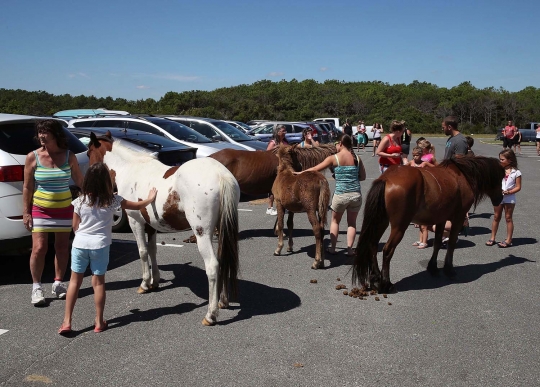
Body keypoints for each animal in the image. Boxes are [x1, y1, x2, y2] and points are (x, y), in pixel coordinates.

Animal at [87, 132, 239, 326]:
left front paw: (145, 284)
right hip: (221, 231)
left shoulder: (136, 222)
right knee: (225, 260)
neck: (129, 168)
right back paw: (223, 301)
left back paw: (210, 315)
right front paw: (155, 281)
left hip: (202, 233)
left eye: (89, 152)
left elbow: (143, 252)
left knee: (213, 266)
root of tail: (221, 175)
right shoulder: (151, 226)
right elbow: (153, 250)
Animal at [352, 156, 504, 292]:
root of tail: (386, 178)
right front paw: (449, 270)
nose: (500, 199)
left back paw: (376, 279)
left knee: (372, 245)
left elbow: (437, 243)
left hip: (381, 222)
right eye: (500, 177)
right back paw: (386, 284)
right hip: (399, 226)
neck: (462, 175)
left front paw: (433, 268)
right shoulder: (458, 218)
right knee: (388, 250)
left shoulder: (442, 219)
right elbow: (451, 244)